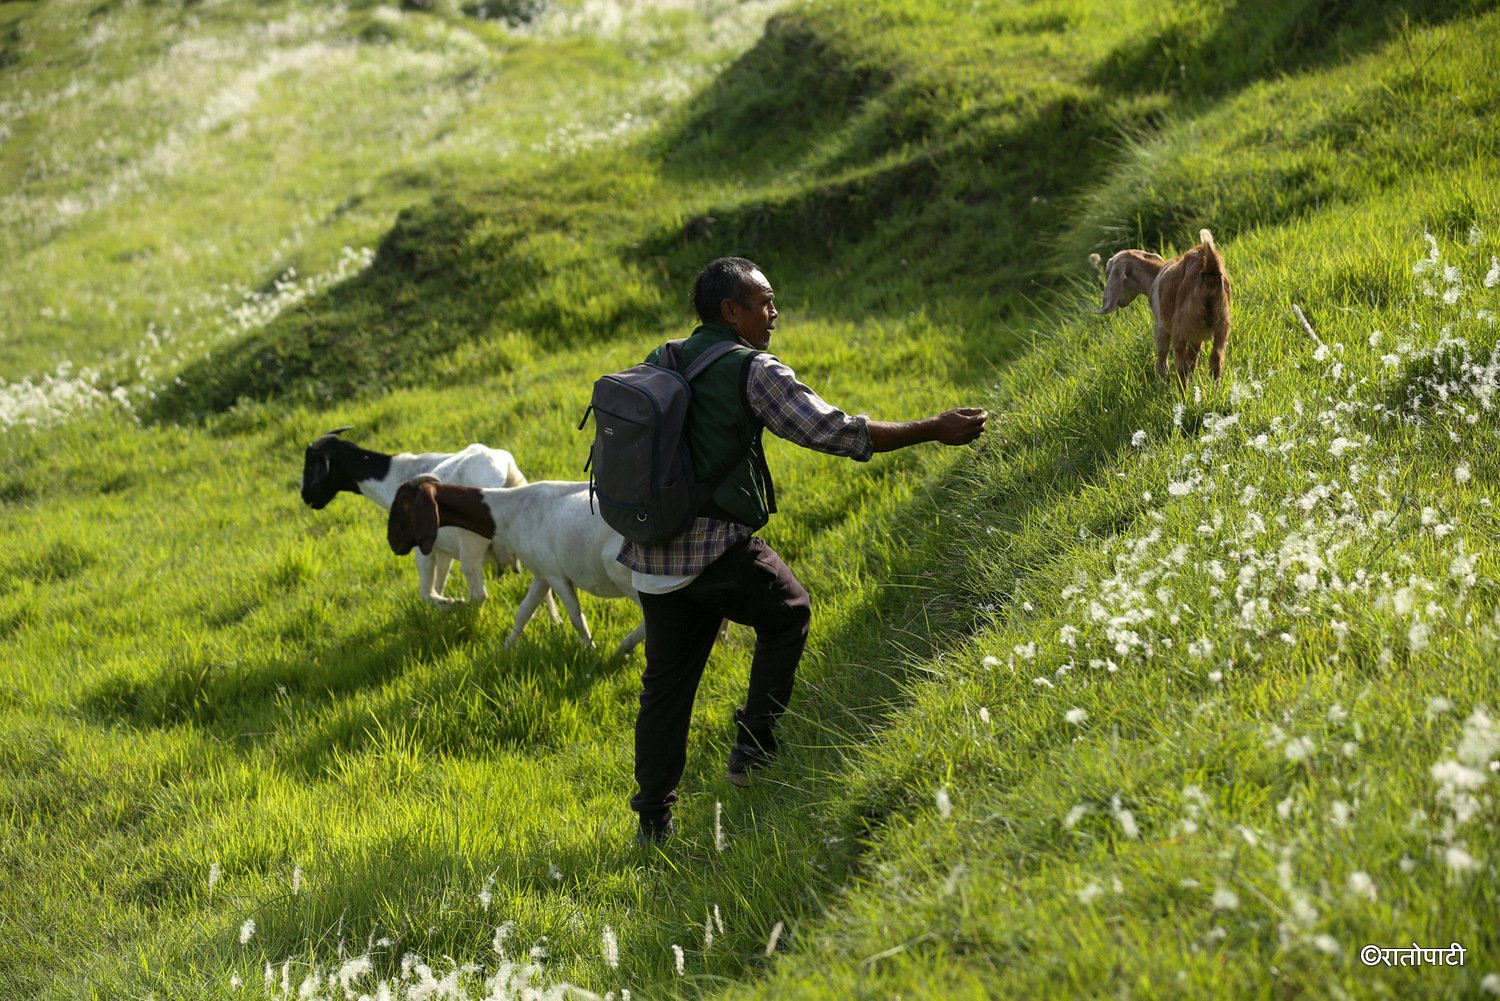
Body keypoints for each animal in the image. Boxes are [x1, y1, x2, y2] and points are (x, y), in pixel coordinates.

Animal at [300, 427, 555, 616]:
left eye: (311, 464)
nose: (305, 496)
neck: (393, 476)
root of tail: (504, 472)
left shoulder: (421, 546)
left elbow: (427, 591)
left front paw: (450, 603)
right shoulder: (442, 548)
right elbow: (438, 581)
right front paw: (445, 606)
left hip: (471, 546)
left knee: (479, 594)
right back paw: (556, 623)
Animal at [387, 474, 645, 655]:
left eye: (404, 502)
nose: (392, 542)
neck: (512, 512)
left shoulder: (556, 575)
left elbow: (576, 618)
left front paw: (592, 652)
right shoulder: (541, 574)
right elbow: (523, 612)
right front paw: (504, 650)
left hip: (625, 576)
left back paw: (625, 646)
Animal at [1095, 229, 1233, 384]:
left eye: (1108, 272)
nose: (1119, 302)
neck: (1155, 275)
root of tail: (1209, 268)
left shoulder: (1161, 327)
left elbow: (1162, 357)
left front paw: (1161, 381)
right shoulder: (1196, 337)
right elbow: (1192, 361)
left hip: (1180, 330)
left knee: (1181, 368)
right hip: (1222, 326)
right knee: (1216, 361)